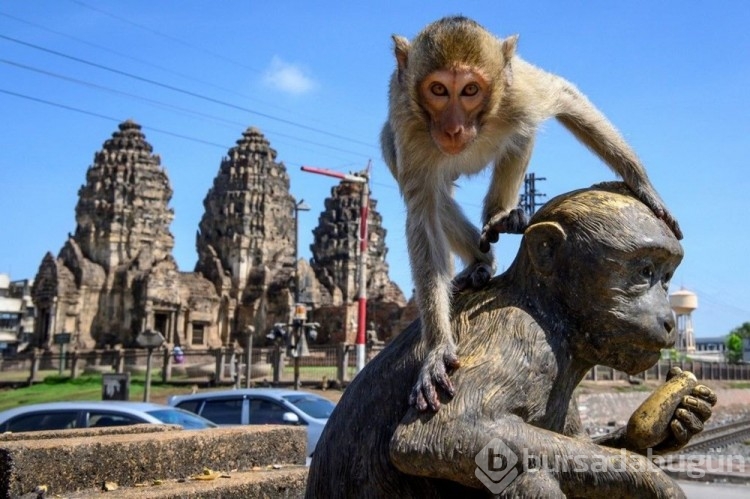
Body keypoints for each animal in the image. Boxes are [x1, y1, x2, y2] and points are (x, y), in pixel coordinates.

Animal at [384, 16, 684, 414]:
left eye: (469, 90)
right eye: (438, 89)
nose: (452, 128)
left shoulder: (519, 94)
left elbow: (565, 96)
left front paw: (644, 185)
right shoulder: (409, 126)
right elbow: (424, 215)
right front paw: (436, 350)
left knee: (521, 134)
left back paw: (499, 216)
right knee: (428, 188)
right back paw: (481, 260)